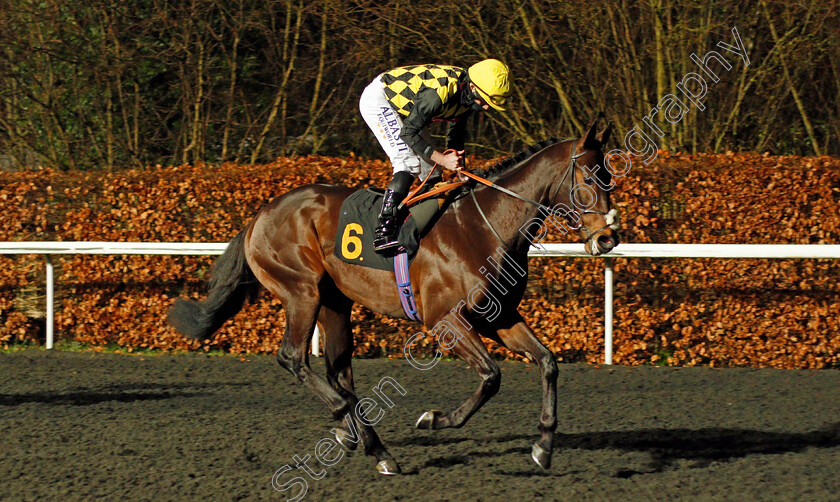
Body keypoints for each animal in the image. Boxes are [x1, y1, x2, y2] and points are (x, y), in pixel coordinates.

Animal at [169, 116, 616, 474]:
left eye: (610, 176)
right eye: (589, 178)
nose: (608, 238)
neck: (484, 227)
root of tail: (260, 214)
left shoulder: (499, 317)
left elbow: (548, 363)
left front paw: (543, 447)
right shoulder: (445, 321)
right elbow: (492, 376)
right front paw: (434, 419)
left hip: (335, 301)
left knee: (338, 369)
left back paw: (370, 444)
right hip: (301, 291)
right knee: (294, 358)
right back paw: (348, 423)